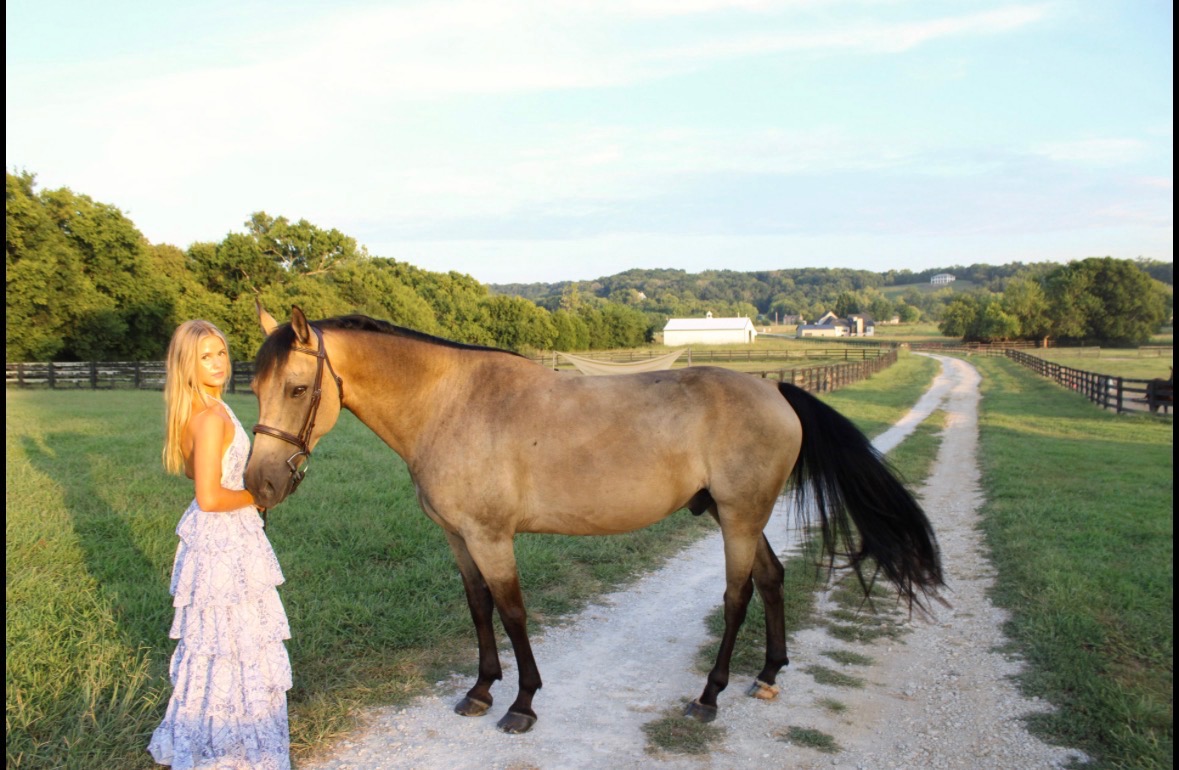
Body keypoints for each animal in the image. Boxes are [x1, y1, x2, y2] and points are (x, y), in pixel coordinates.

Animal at [245, 306, 943, 734]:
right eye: (255, 386)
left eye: (299, 389)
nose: (260, 483)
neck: (452, 403)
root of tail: (775, 389)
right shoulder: (458, 538)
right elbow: (479, 609)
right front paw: (480, 690)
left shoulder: (492, 538)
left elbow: (513, 612)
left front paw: (522, 703)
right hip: (733, 515)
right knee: (771, 581)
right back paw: (768, 675)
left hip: (740, 518)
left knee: (738, 594)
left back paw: (709, 696)